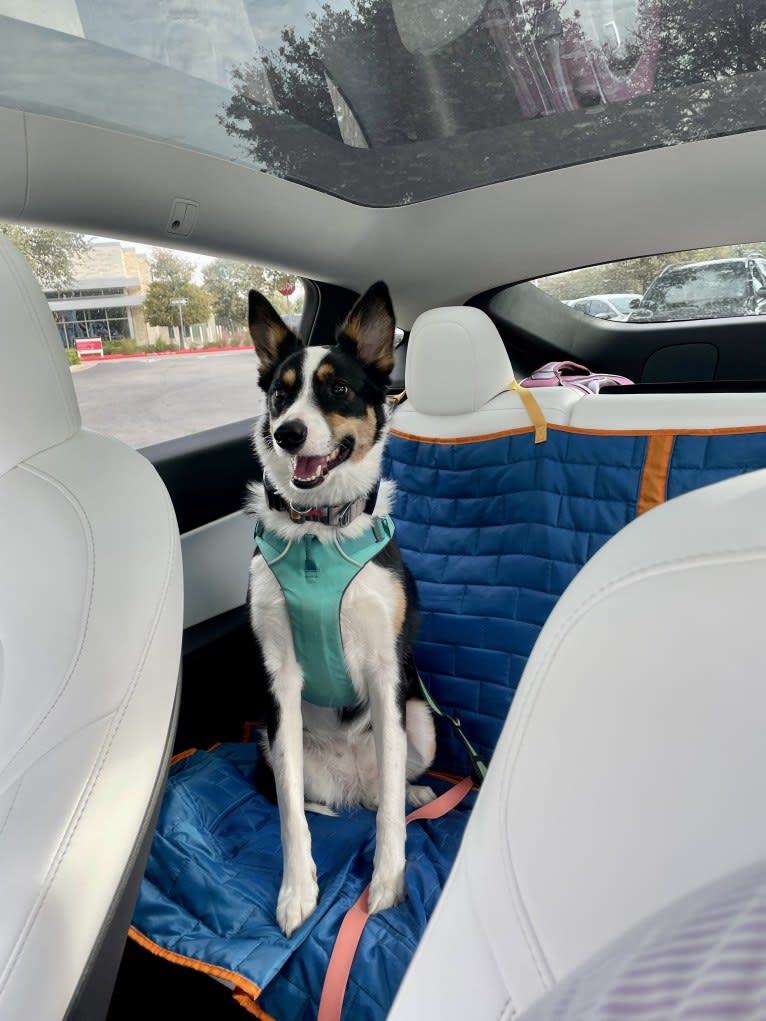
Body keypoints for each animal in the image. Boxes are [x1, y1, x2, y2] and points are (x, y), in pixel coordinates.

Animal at [247, 283, 437, 935]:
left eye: (340, 390)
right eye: (281, 395)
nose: (287, 433)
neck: (317, 533)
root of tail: (352, 783)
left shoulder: (386, 672)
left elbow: (391, 822)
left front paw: (389, 881)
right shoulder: (279, 680)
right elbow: (288, 816)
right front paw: (297, 889)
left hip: (421, 722)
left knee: (387, 792)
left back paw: (412, 796)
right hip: (270, 741)